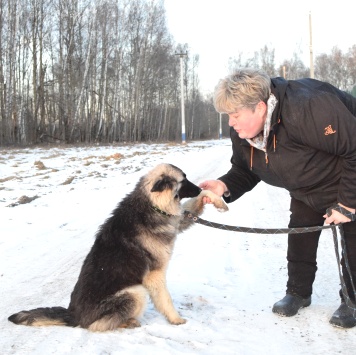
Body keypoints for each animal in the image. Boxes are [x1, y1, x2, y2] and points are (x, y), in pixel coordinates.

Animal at [8, 163, 228, 330]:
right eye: (183, 181)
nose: (197, 188)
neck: (152, 204)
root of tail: (73, 315)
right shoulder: (155, 275)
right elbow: (166, 300)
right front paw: (176, 319)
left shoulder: (177, 220)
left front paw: (216, 200)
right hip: (135, 292)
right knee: (96, 326)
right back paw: (128, 322)